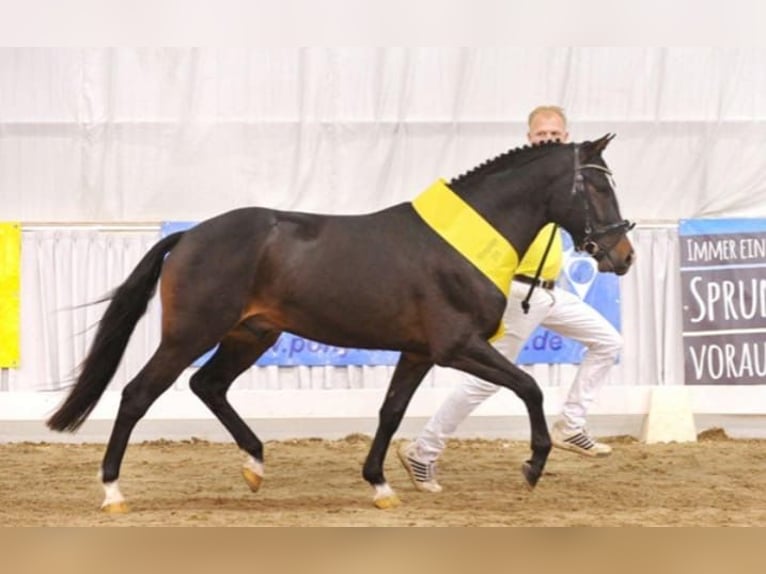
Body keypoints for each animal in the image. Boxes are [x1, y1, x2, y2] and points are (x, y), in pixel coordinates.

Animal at [47, 134, 635, 512]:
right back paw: (113, 492)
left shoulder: (419, 351)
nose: (622, 256)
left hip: (251, 334)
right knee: (137, 394)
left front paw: (380, 485)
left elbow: (391, 411)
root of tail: (189, 236)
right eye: (599, 188)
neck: (462, 244)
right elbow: (529, 387)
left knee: (207, 385)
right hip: (191, 334)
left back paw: (255, 464)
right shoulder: (457, 346)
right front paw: (533, 466)